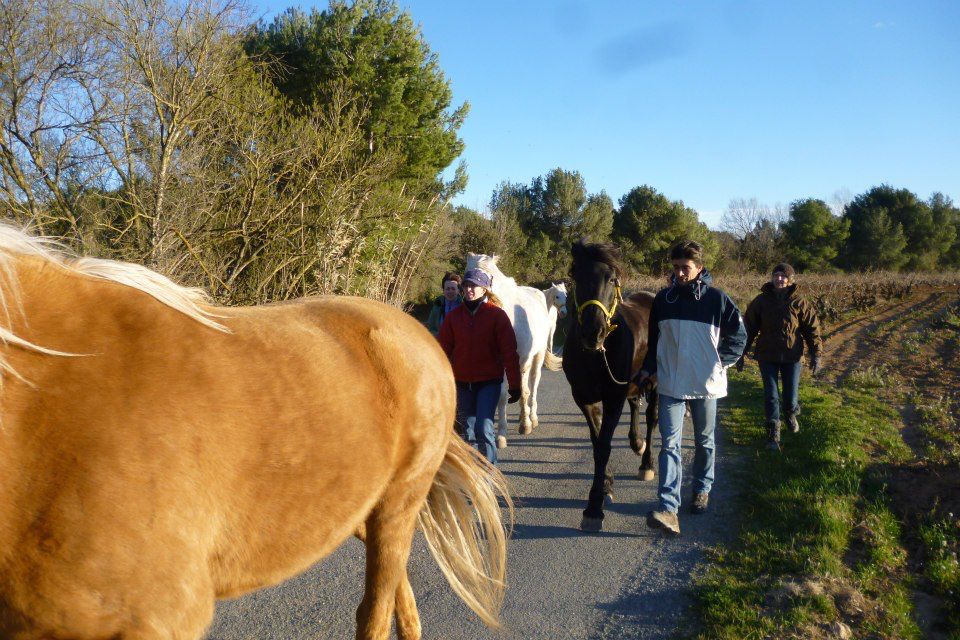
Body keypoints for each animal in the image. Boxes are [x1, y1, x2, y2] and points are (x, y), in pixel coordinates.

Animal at [465, 253, 562, 448]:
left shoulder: (518, 361)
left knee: (532, 384)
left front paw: (523, 426)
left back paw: (532, 418)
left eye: (490, 276)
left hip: (537, 356)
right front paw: (501, 434)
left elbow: (521, 391)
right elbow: (501, 397)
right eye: (466, 273)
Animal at [561, 239, 658, 532]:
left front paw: (594, 507)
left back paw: (647, 462)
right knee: (636, 405)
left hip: (656, 381)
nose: (594, 332)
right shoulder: (584, 398)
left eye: (612, 279)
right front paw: (606, 483)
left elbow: (603, 446)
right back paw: (636, 442)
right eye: (576, 276)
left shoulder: (613, 397)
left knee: (652, 418)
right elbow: (596, 442)